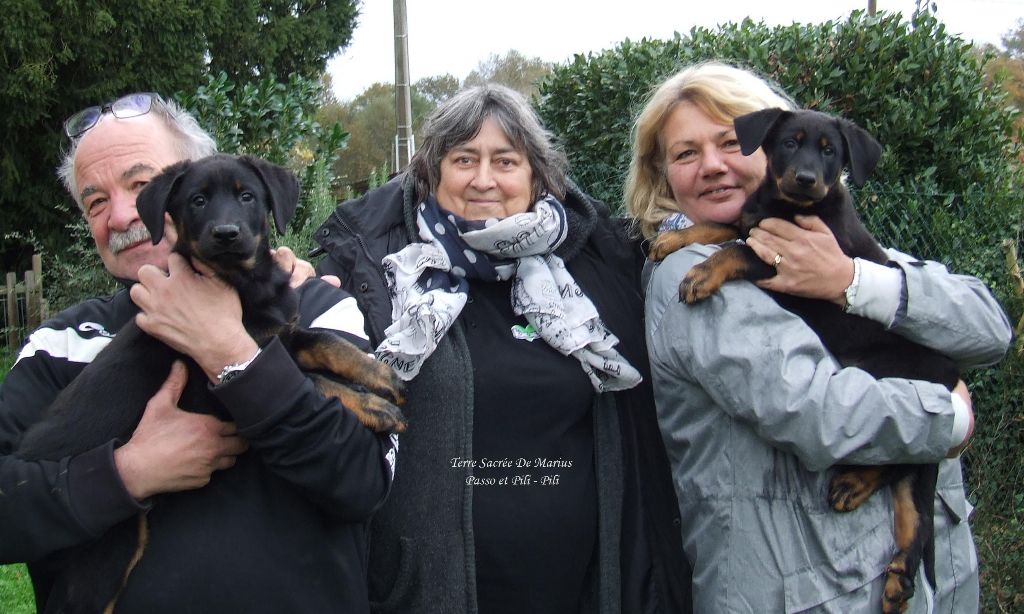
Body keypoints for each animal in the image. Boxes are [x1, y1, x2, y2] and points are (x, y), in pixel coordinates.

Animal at [17, 153, 407, 614]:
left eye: (247, 196)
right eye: (198, 201)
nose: (226, 234)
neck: (242, 284)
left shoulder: (276, 336)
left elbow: (326, 342)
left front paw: (379, 375)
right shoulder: (216, 392)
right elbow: (312, 381)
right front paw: (377, 407)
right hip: (106, 551)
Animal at [647, 108, 958, 614]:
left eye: (830, 151)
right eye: (790, 143)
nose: (807, 179)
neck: (786, 205)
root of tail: (951, 378)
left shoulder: (785, 264)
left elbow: (738, 250)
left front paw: (701, 273)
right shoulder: (754, 221)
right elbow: (726, 227)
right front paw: (676, 239)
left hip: (882, 374)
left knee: (895, 456)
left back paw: (854, 485)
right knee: (914, 510)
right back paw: (897, 583)